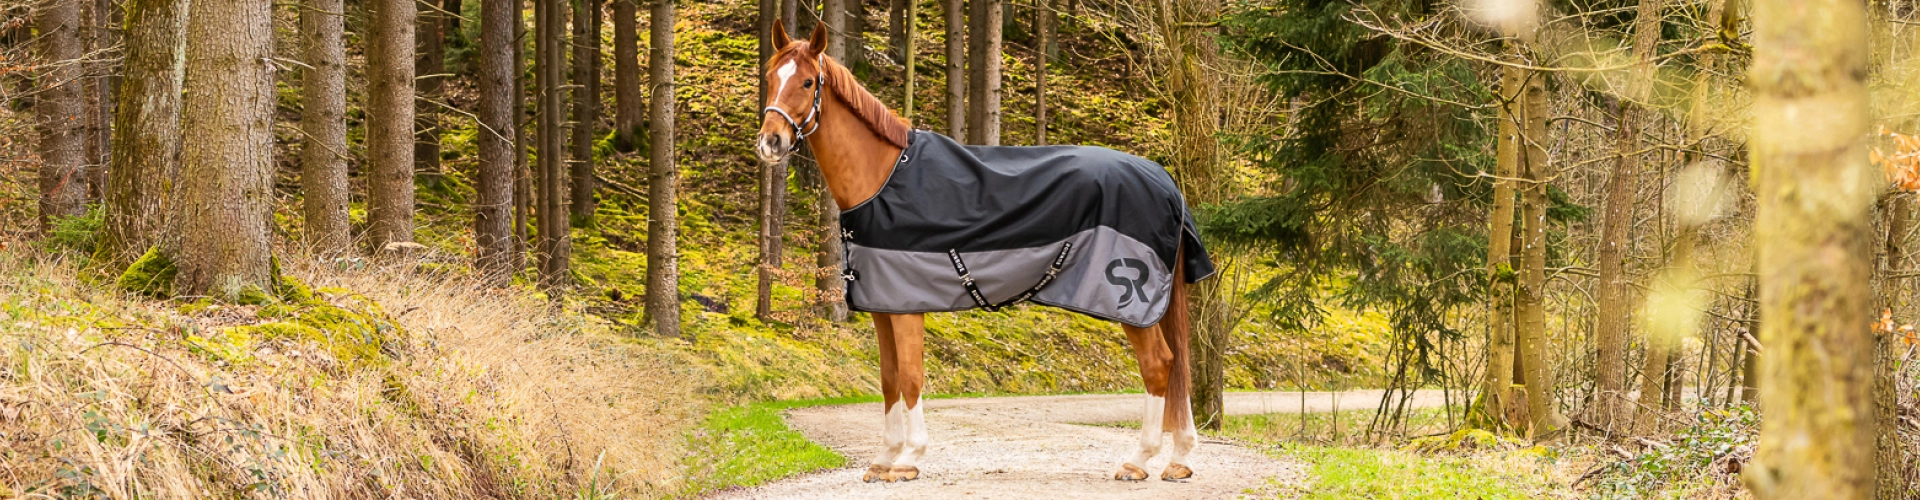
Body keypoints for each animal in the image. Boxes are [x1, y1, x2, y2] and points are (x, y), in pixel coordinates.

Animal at [754, 21, 1208, 484]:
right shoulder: (883, 306)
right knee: (1176, 367)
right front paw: (884, 458)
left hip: (1131, 302)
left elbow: (911, 377)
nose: (770, 142)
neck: (882, 177)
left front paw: (909, 459)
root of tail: (1165, 181)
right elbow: (888, 378)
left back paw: (1139, 460)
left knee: (1158, 364)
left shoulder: (907, 306)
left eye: (808, 82)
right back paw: (1180, 458)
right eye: (771, 76)